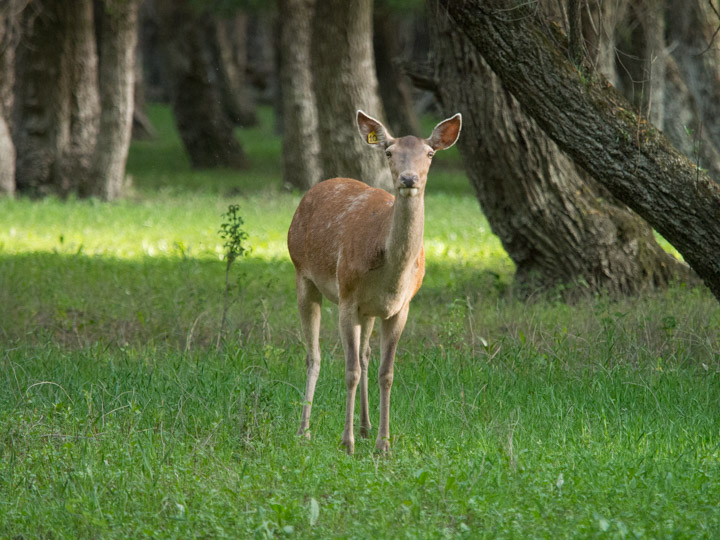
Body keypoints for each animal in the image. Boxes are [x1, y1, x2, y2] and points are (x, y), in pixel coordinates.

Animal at [286, 108, 462, 452]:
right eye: (389, 152)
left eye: (430, 153)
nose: (409, 179)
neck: (392, 276)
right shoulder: (347, 297)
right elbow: (350, 370)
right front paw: (347, 442)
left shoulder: (400, 308)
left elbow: (386, 372)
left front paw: (384, 444)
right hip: (303, 274)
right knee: (313, 355)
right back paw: (304, 430)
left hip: (367, 310)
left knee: (366, 355)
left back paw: (366, 427)